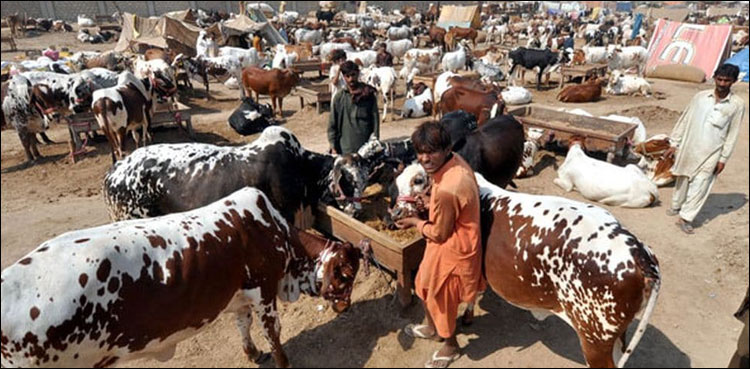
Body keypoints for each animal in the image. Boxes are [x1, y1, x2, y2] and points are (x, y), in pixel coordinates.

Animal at [0, 187, 370, 368]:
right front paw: (283, 361)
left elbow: (244, 326)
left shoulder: (240, 297)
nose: (346, 307)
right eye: (346, 274)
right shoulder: (264, 292)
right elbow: (274, 334)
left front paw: (253, 353)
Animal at [390, 167, 660, 368]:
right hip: (614, 335)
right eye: (397, 181)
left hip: (595, 339)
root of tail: (640, 253)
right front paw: (466, 315)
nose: (394, 213)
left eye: (418, 180)